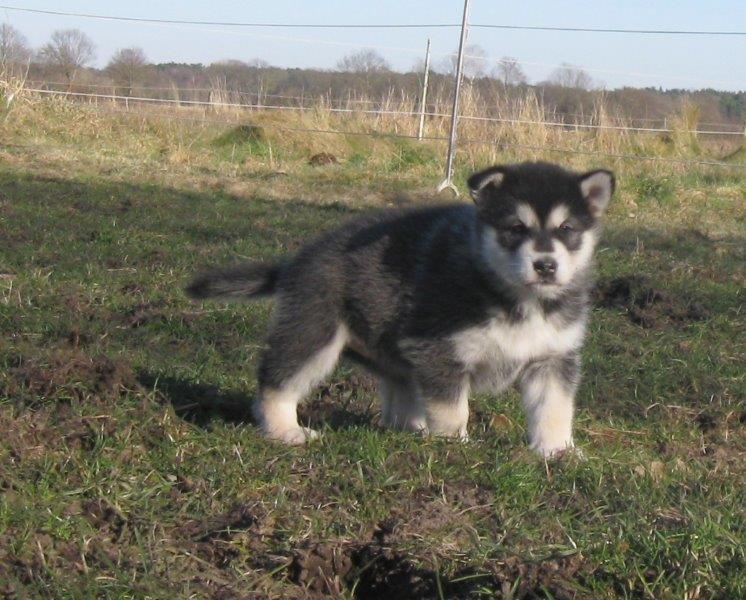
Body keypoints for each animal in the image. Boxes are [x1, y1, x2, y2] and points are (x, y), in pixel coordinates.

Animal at [186, 161, 614, 456]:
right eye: (515, 228)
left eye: (567, 230)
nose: (545, 265)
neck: (518, 298)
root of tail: (296, 261)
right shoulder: (440, 352)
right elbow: (453, 409)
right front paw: (455, 446)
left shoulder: (553, 359)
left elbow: (555, 409)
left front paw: (557, 452)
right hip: (314, 332)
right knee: (276, 380)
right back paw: (284, 430)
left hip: (388, 352)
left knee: (400, 391)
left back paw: (410, 428)